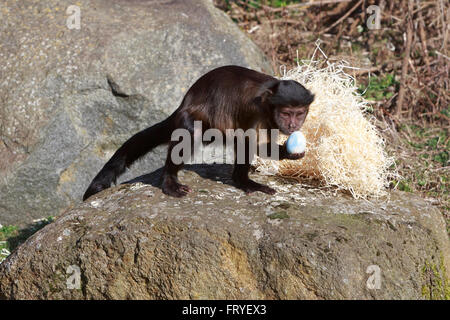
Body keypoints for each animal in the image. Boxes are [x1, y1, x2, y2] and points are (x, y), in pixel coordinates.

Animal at [83, 65, 312, 200]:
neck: (268, 101)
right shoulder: (254, 110)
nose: (293, 125)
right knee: (192, 132)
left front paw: (289, 153)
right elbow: (248, 142)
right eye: (286, 113)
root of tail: (183, 103)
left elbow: (261, 146)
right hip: (188, 117)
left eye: (299, 113)